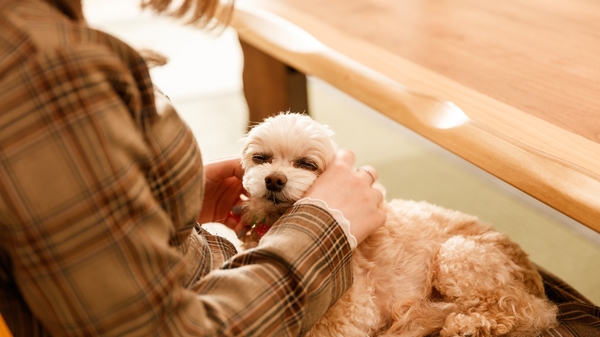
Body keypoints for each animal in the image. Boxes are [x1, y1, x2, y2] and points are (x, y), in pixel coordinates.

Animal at [237, 113, 556, 336]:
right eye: (260, 158)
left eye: (307, 164)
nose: (274, 179)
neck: (279, 219)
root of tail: (531, 276)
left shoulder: (353, 312)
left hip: (458, 257)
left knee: (515, 309)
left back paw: (466, 326)